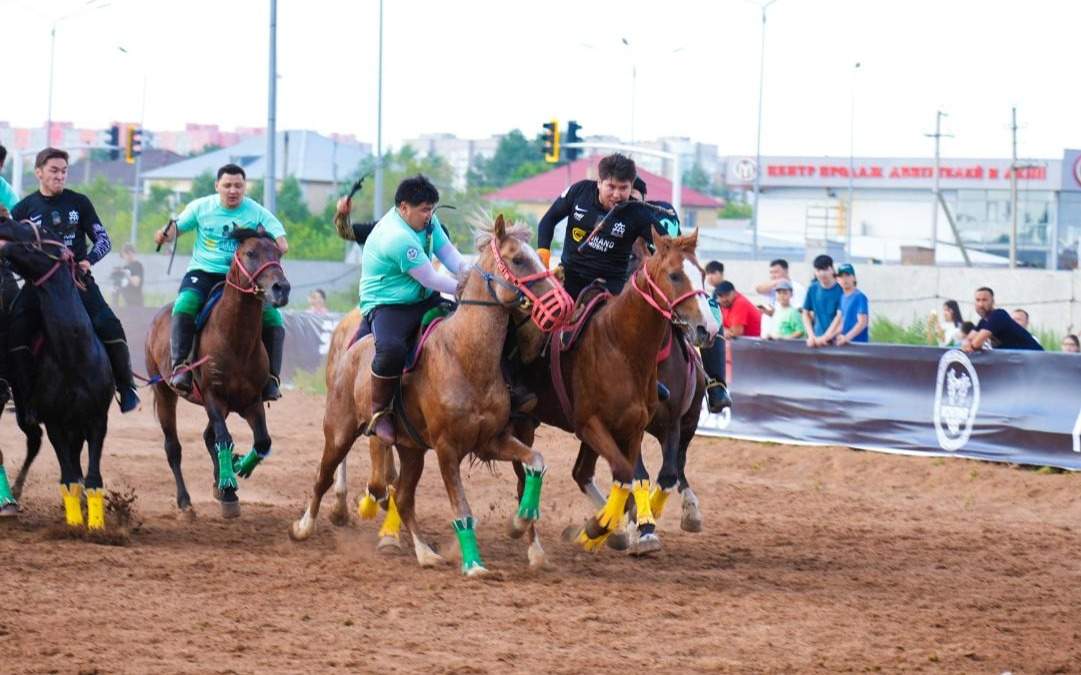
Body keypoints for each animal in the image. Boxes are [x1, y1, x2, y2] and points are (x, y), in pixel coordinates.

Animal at [0, 218, 114, 530]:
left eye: (42, 232)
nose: (3, 221)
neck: (74, 356)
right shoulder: (55, 422)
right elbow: (69, 478)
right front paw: (75, 523)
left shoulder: (97, 419)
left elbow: (93, 478)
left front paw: (96, 525)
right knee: (36, 441)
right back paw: (14, 494)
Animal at [148, 227, 294, 517]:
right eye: (250, 253)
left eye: (278, 253)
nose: (281, 288)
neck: (236, 340)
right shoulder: (213, 397)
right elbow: (224, 438)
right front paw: (228, 482)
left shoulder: (251, 401)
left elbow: (262, 441)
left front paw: (236, 471)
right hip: (164, 392)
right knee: (174, 448)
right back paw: (186, 501)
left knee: (208, 437)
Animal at [287, 215, 575, 575]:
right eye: (519, 259)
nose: (563, 304)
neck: (464, 356)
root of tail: (352, 348)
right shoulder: (446, 449)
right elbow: (462, 509)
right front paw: (474, 564)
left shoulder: (490, 441)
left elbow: (536, 461)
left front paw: (519, 522)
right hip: (340, 430)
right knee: (323, 476)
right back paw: (304, 527)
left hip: (412, 450)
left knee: (403, 497)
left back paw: (425, 552)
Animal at [505, 229, 717, 558]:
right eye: (674, 275)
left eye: (703, 274)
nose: (706, 328)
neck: (620, 346)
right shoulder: (591, 424)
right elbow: (632, 474)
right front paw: (626, 527)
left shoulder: (656, 424)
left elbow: (664, 475)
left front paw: (632, 522)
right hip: (525, 420)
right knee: (527, 471)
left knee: (585, 472)